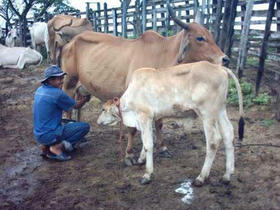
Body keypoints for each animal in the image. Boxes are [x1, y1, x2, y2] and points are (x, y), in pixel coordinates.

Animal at [60, 4, 229, 166]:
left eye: (211, 35)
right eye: (200, 38)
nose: (225, 59)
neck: (162, 57)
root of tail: (71, 42)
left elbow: (159, 123)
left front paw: (163, 148)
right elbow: (132, 129)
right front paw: (129, 155)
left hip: (82, 91)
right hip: (68, 84)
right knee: (66, 111)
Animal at [97, 61, 245, 186]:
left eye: (103, 109)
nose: (98, 121)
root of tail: (220, 68)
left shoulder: (144, 116)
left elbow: (148, 144)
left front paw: (147, 174)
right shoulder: (150, 118)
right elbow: (147, 140)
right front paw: (141, 159)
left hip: (207, 114)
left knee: (214, 141)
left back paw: (201, 177)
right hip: (220, 111)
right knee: (228, 135)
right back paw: (227, 175)